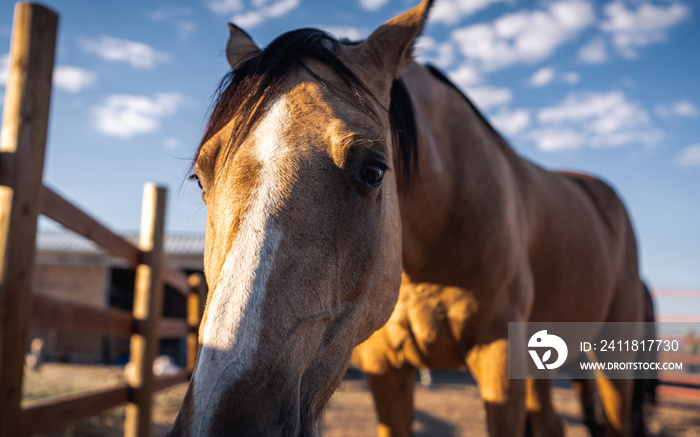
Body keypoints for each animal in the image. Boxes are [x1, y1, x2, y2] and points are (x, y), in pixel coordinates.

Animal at [168, 1, 644, 434]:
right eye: (200, 177)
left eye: (374, 170)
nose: (219, 420)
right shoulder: (385, 368)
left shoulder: (498, 358)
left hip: (611, 360)